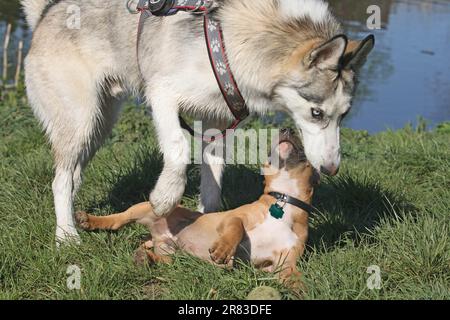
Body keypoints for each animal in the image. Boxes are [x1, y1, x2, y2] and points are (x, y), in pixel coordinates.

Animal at [21, 0, 374, 242]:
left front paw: (205, 223)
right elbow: (178, 147)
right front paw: (165, 197)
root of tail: (46, 13)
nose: (331, 169)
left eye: (344, 114)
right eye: (317, 113)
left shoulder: (218, 122)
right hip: (81, 121)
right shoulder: (161, 94)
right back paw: (66, 235)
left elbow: (213, 182)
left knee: (72, 176)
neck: (232, 40)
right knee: (60, 180)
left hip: (99, 126)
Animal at [76, 128, 316, 288]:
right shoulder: (232, 218)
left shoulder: (285, 264)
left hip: (172, 254)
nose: (286, 128)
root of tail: (156, 235)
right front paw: (223, 250)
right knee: (118, 220)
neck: (284, 199)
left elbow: (296, 280)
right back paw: (89, 220)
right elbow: (236, 227)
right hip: (145, 208)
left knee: (163, 260)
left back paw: (145, 258)